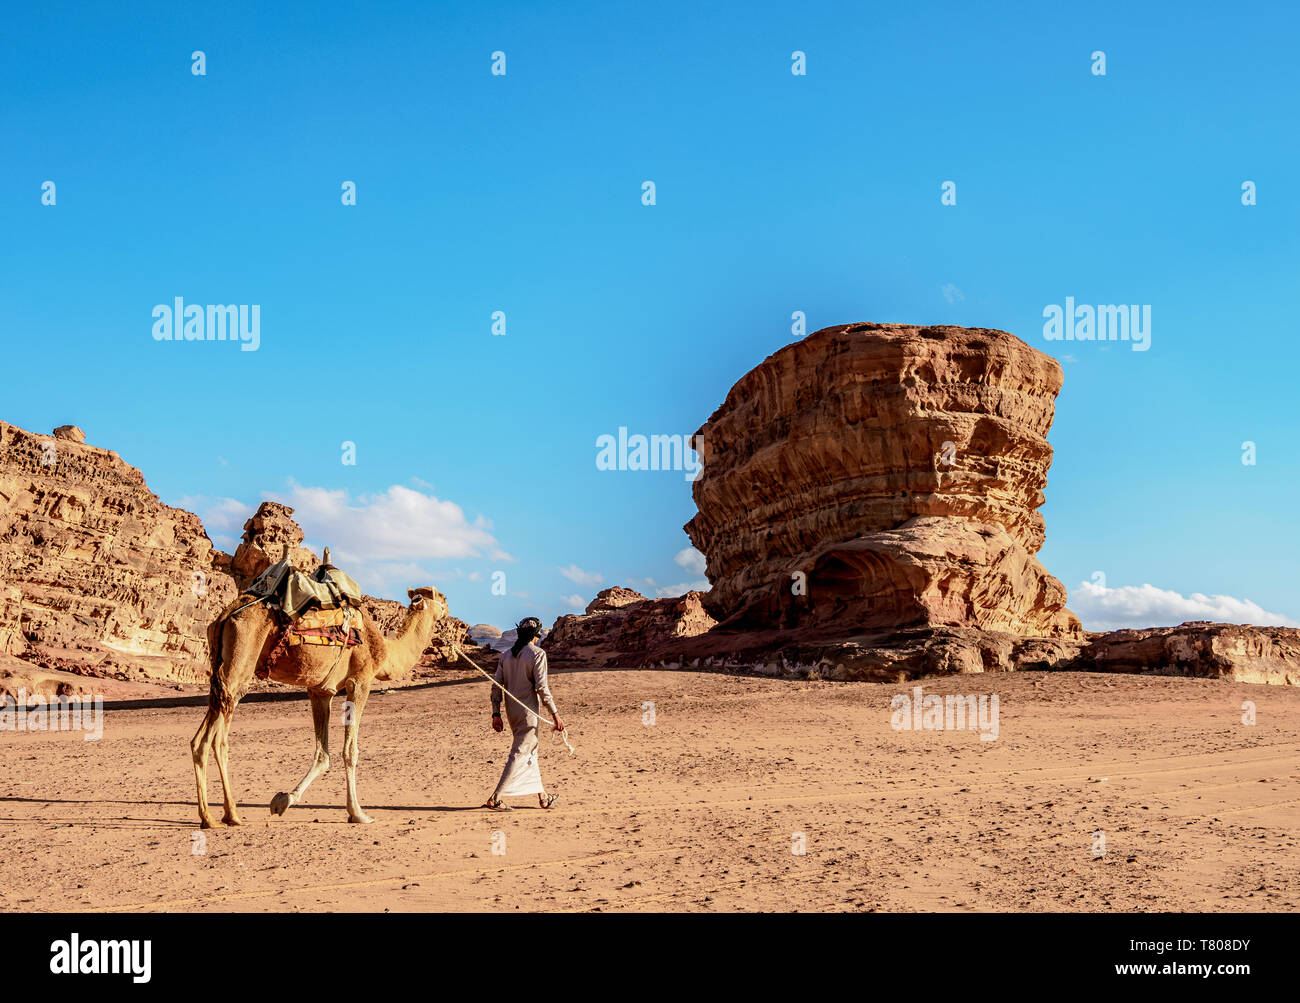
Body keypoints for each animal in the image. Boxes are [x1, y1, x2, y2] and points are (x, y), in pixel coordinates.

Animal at [189, 584, 449, 826]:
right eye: (443, 597)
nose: (447, 609)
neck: (384, 650)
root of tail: (226, 615)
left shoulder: (321, 691)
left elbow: (323, 754)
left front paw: (283, 800)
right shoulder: (360, 681)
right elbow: (350, 751)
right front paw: (358, 813)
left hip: (220, 673)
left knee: (203, 740)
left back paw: (216, 816)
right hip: (240, 664)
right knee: (214, 740)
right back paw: (224, 815)